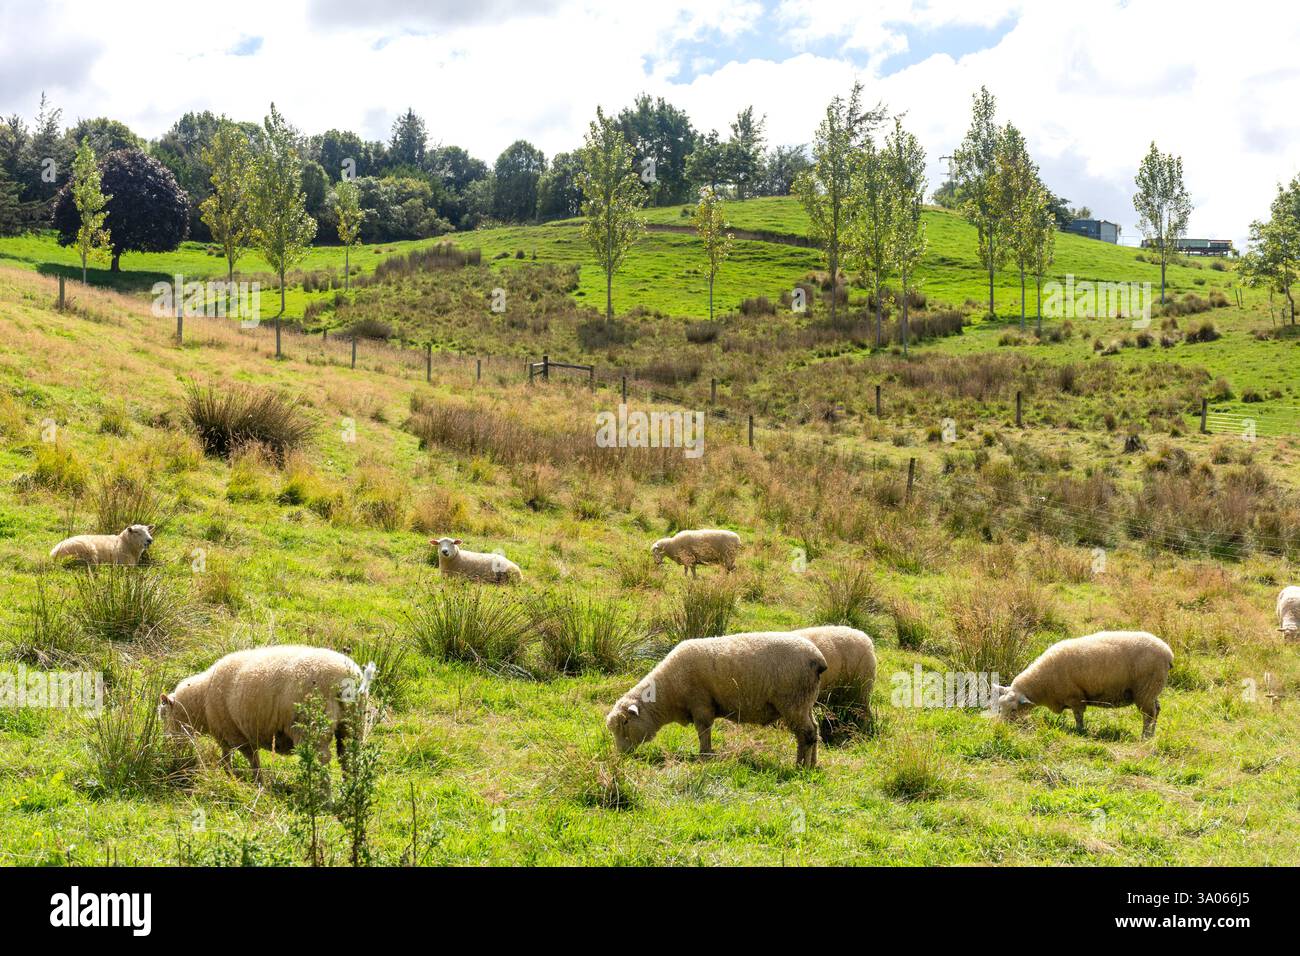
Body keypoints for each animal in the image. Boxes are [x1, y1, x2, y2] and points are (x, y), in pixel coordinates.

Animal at [160, 645, 365, 781]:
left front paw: (253, 781)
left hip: (311, 725)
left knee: (321, 759)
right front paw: (230, 775)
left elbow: (250, 760)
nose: (167, 743)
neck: (201, 701)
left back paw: (322, 796)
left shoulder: (235, 733)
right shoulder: (228, 734)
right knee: (349, 757)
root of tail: (344, 676)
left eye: (163, 715)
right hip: (354, 725)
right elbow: (227, 756)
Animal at [605, 633, 827, 767]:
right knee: (815, 730)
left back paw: (800, 765)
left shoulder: (700, 704)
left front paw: (704, 755)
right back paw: (813, 764)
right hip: (806, 702)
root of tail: (818, 660)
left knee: (806, 733)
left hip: (793, 702)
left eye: (625, 723)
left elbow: (703, 731)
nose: (621, 756)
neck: (668, 692)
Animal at [991, 631, 1173, 739]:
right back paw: (1151, 735)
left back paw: (1145, 736)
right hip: (1151, 690)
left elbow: (1078, 716)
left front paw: (1080, 731)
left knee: (1149, 714)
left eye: (1013, 709)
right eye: (999, 707)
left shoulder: (1075, 697)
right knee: (1157, 710)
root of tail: (1167, 652)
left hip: (1146, 689)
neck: (1041, 684)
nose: (1000, 727)